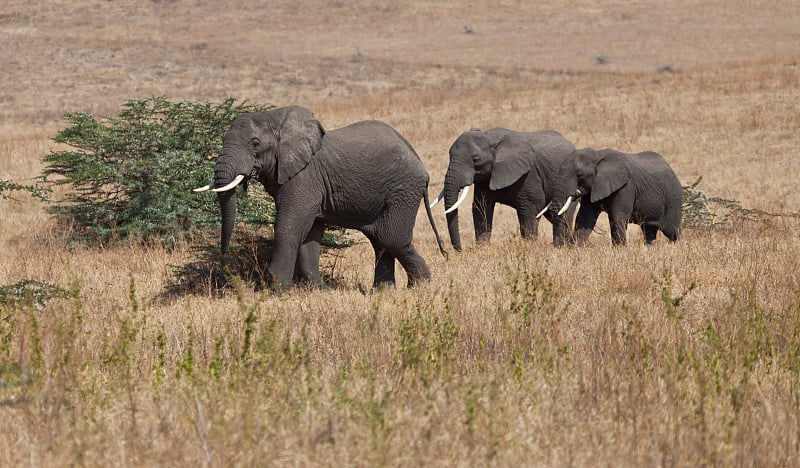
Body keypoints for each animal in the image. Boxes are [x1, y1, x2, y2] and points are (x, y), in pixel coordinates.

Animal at [192, 104, 444, 290]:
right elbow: (310, 234)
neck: (276, 119)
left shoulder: (305, 177)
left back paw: (420, 288)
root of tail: (419, 162)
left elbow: (289, 226)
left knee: (391, 237)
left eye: (255, 144)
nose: (224, 254)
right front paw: (320, 291)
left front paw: (275, 290)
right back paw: (383, 292)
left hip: (403, 189)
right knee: (379, 238)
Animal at [428, 128, 580, 250]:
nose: (459, 250)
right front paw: (482, 248)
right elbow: (481, 206)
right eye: (449, 155)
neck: (490, 138)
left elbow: (531, 206)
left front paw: (529, 247)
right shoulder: (486, 176)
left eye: (476, 159)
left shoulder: (528, 174)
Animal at [548, 149, 684, 245]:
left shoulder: (626, 187)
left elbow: (617, 216)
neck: (597, 155)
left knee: (672, 230)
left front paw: (619, 250)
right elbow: (584, 218)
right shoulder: (594, 187)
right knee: (649, 231)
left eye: (579, 175)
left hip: (673, 198)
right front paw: (574, 248)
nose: (559, 246)